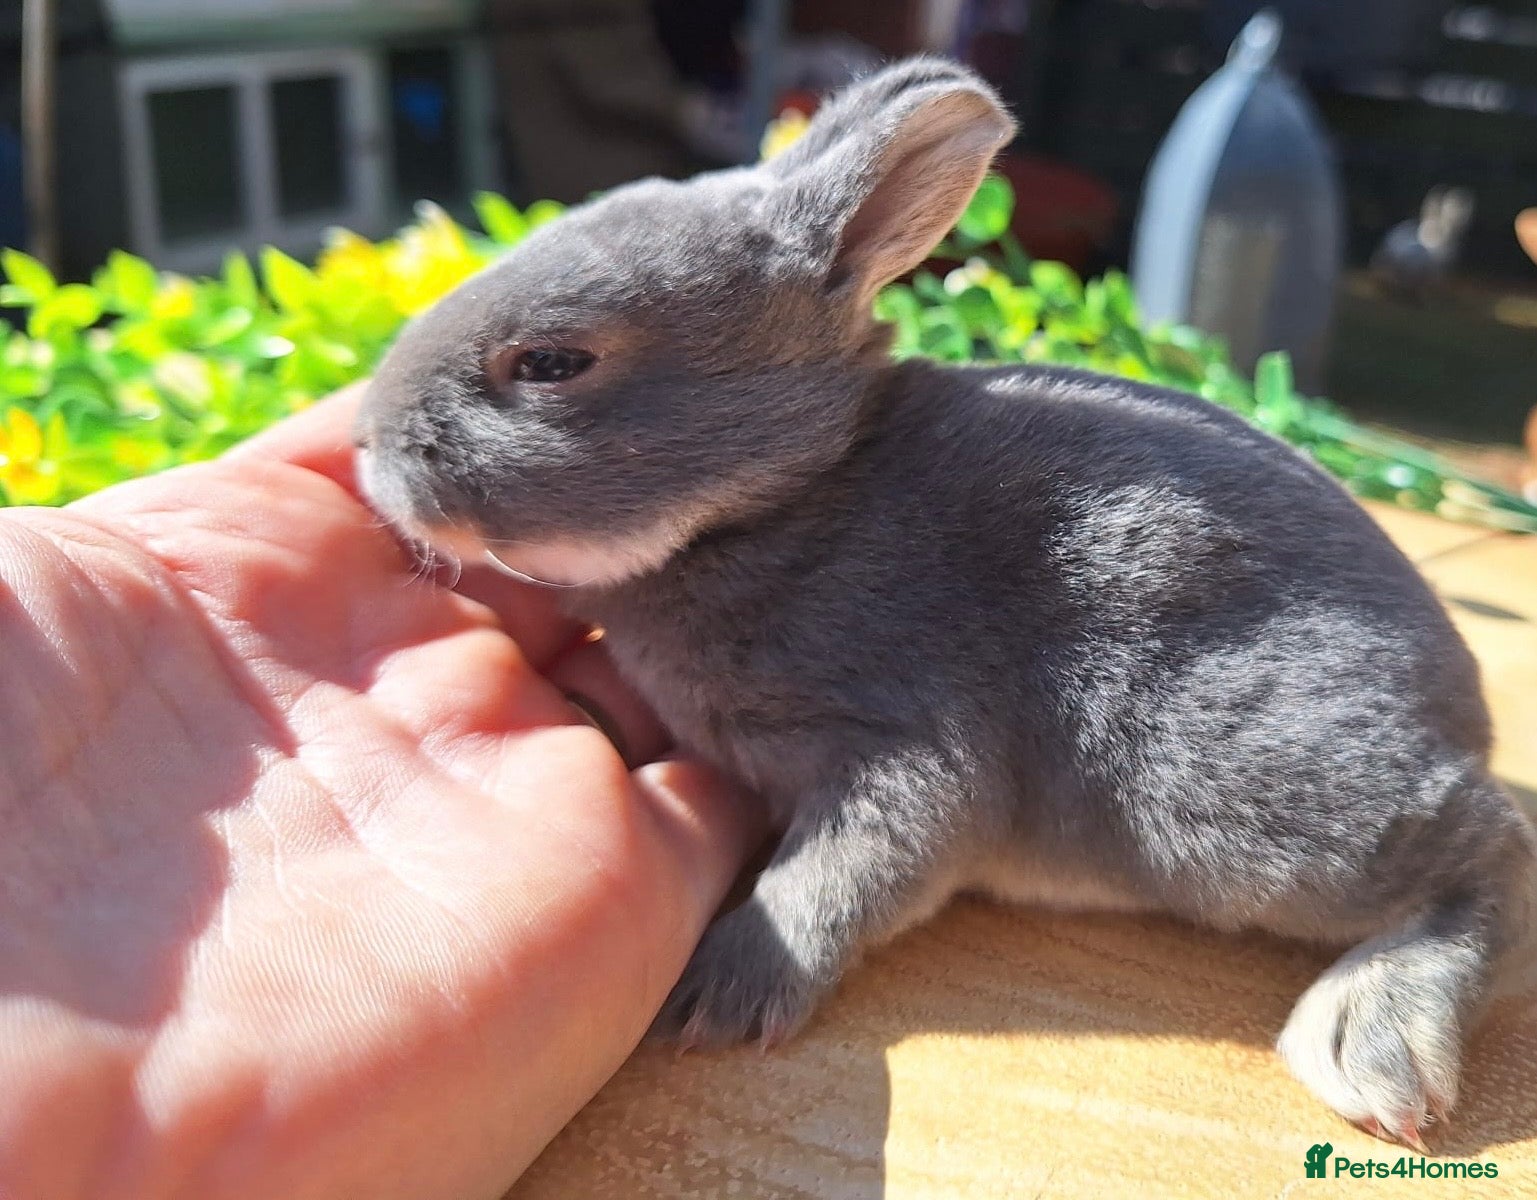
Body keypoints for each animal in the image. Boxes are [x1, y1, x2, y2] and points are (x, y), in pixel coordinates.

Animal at [354, 58, 1537, 1151]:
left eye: (552, 362)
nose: (368, 444)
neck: (787, 498)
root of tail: (1459, 705)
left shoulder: (906, 739)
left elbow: (840, 875)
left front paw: (719, 994)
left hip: (1222, 782)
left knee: (1497, 849)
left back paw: (1368, 1037)